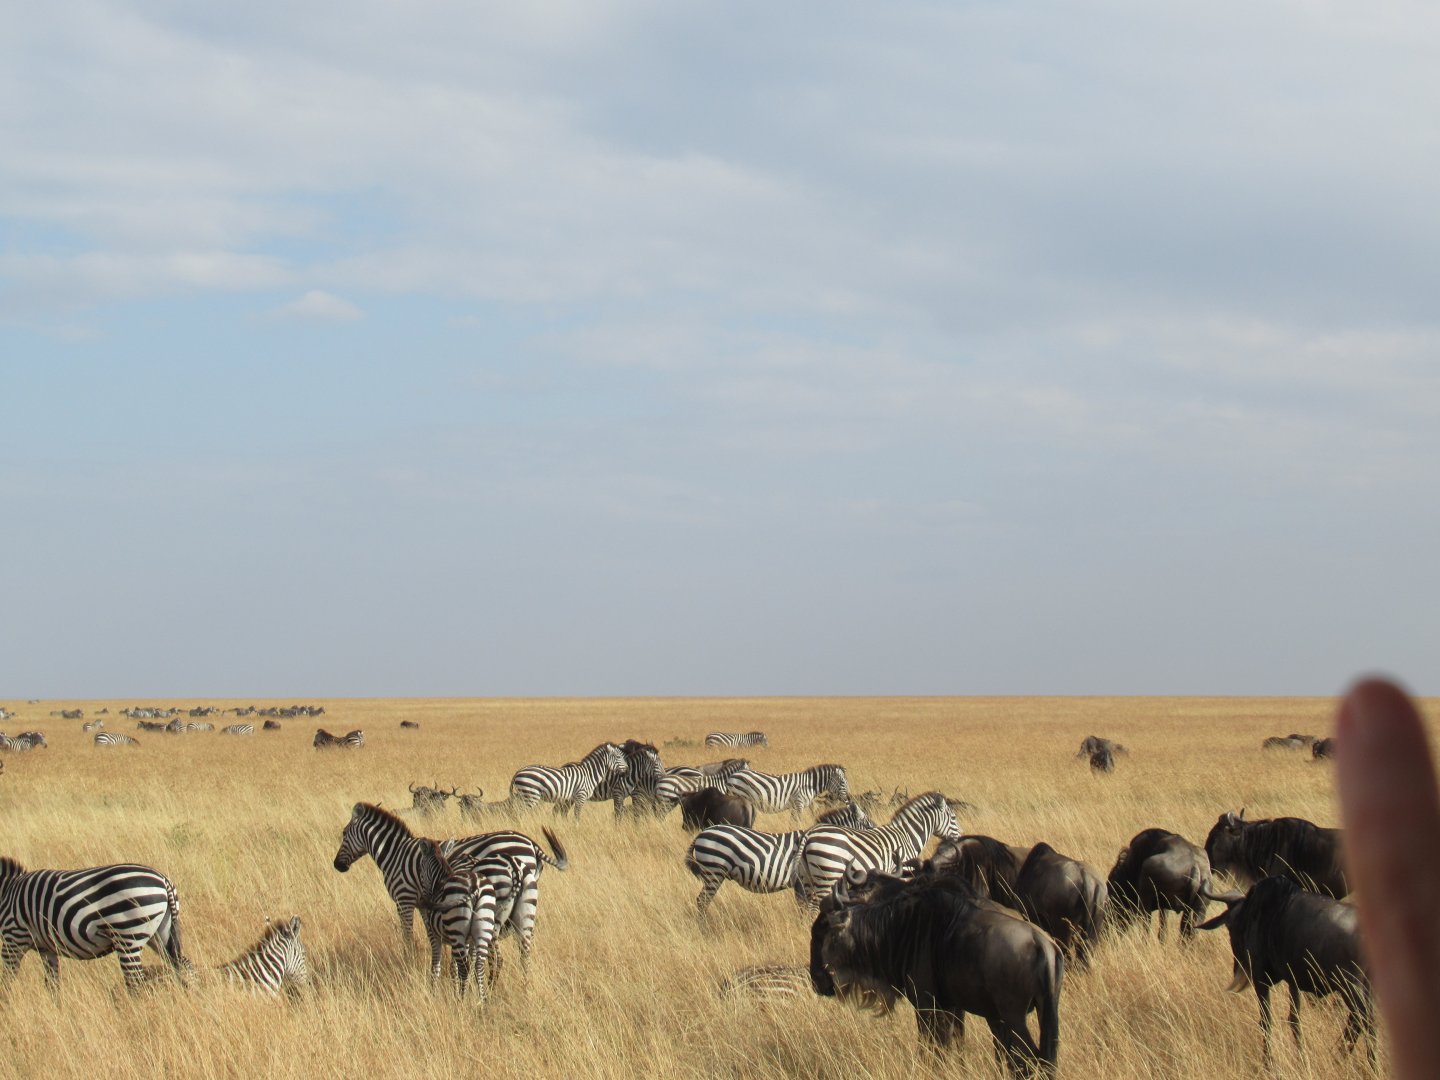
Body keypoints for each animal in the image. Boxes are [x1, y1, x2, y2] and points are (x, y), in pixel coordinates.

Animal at [0, 858, 190, 992]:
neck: (6, 892)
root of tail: (164, 881)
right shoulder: (47, 948)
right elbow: (52, 986)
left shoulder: (13, 939)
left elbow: (6, 983)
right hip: (161, 933)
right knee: (185, 966)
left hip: (128, 936)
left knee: (135, 983)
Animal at [331, 803, 567, 969]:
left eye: (343, 833)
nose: (337, 866)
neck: (396, 854)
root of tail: (532, 844)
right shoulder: (424, 903)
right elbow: (431, 932)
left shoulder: (404, 898)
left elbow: (407, 934)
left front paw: (407, 959)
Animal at [794, 790, 962, 906]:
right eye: (953, 817)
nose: (960, 837)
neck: (907, 836)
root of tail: (809, 833)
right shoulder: (903, 871)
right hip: (827, 874)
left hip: (807, 878)